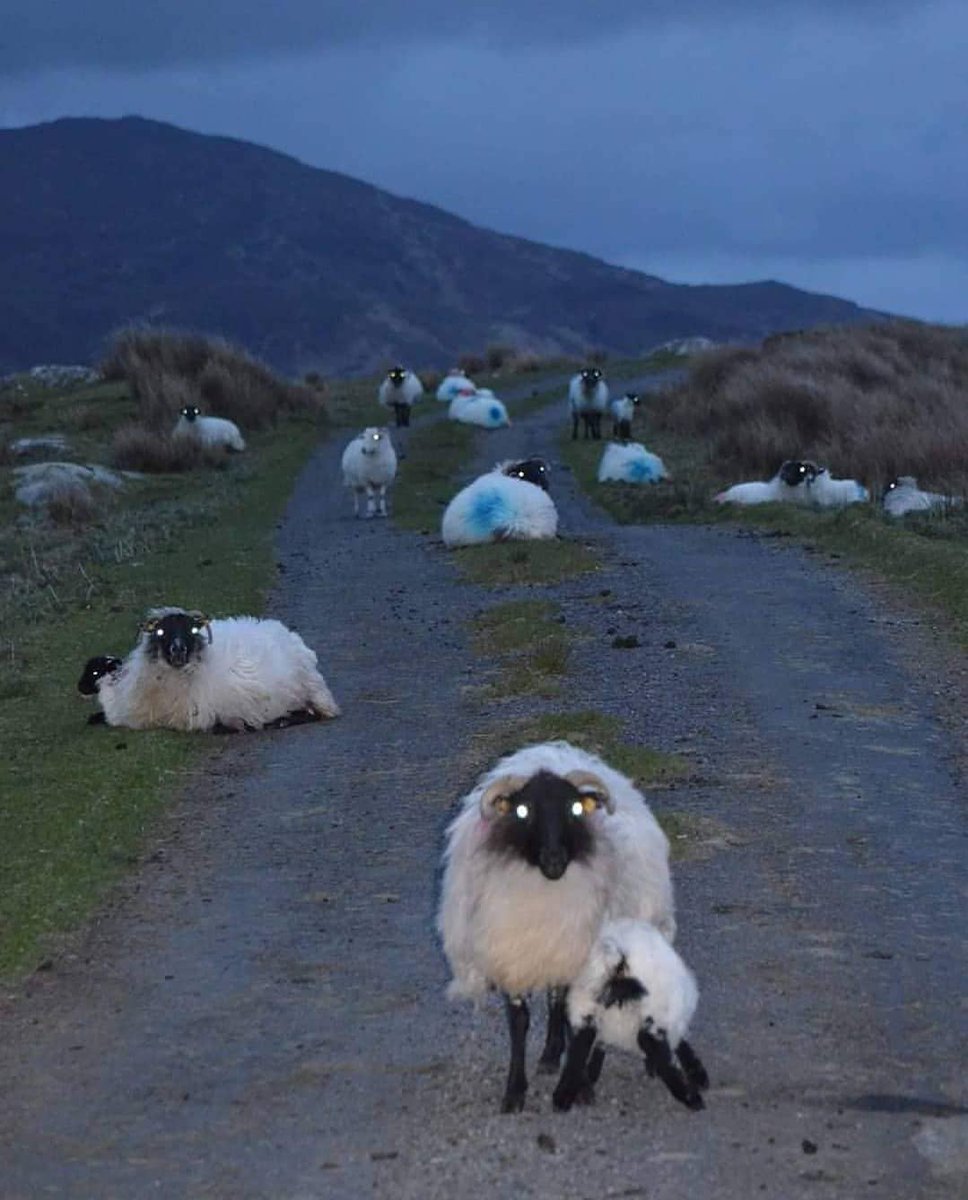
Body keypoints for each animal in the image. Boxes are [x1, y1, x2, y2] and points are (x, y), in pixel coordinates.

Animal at [437, 739, 675, 1113]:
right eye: (523, 811)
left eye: (575, 808)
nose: (554, 859)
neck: (547, 893)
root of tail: (557, 752)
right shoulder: (515, 958)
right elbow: (520, 1023)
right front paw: (515, 1092)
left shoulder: (584, 957)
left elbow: (580, 1022)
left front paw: (578, 1086)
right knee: (556, 999)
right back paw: (551, 1055)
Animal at [553, 918, 709, 1113]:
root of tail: (618, 959)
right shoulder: (666, 1019)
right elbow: (671, 1050)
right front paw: (695, 1072)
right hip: (653, 1007)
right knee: (650, 1043)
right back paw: (691, 1098)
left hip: (582, 1005)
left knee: (576, 1054)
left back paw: (563, 1098)